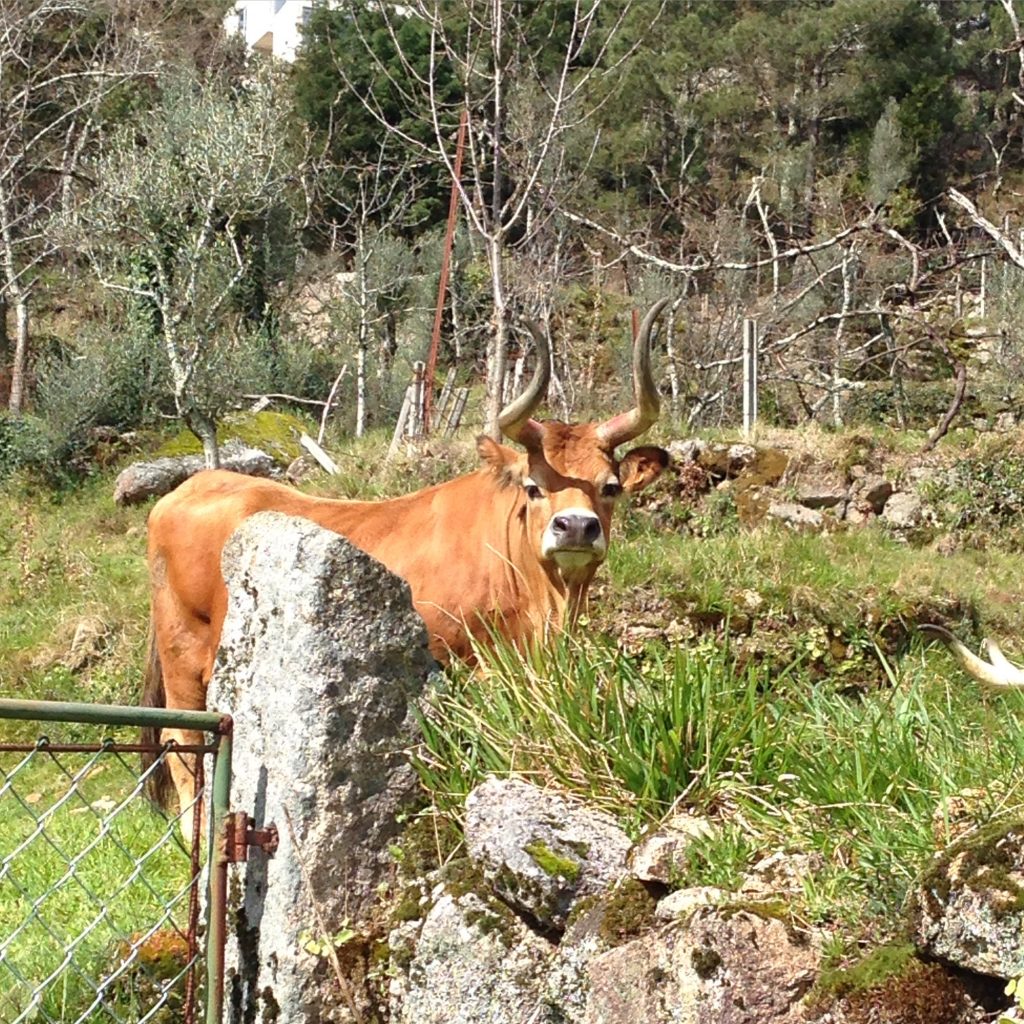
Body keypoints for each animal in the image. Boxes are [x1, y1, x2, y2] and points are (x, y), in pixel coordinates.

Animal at [142, 299, 671, 811]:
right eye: (533, 486)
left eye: (611, 486)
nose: (576, 527)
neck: (543, 603)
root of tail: (195, 485)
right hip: (183, 657)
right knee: (182, 745)